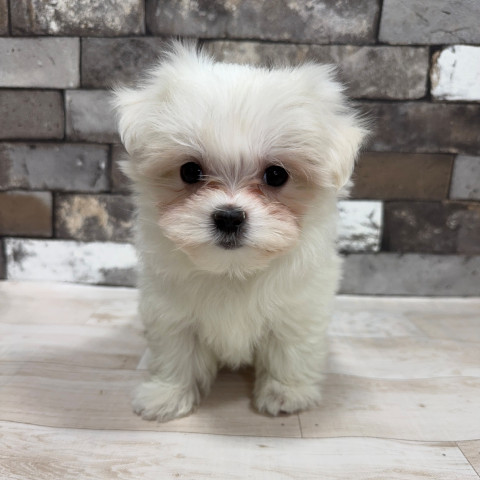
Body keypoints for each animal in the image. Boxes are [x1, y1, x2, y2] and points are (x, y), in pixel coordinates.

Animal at [112, 42, 368, 421]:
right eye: (189, 171)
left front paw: (285, 393)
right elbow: (176, 354)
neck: (233, 270)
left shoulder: (298, 309)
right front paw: (167, 394)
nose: (230, 217)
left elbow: (290, 350)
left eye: (276, 175)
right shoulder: (171, 313)